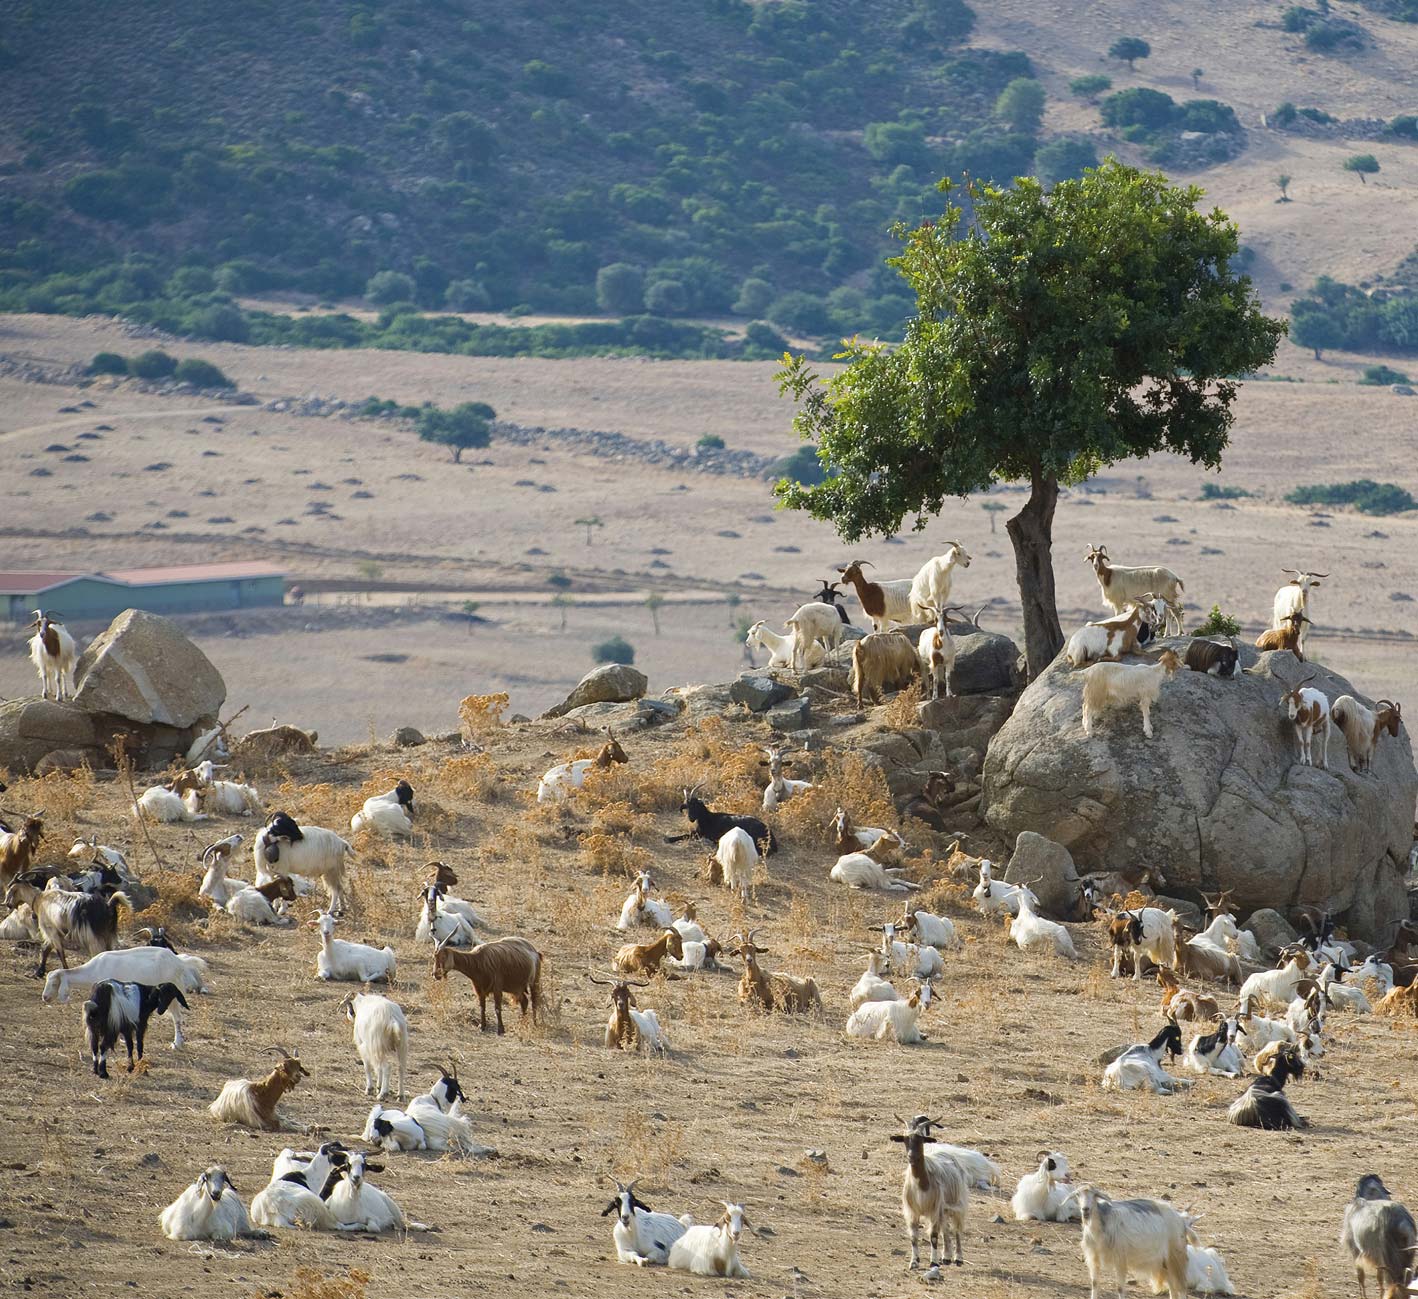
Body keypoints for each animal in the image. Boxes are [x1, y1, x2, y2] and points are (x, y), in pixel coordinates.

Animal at [890, 1117, 969, 1270]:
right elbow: (914, 1236)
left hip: (957, 1204)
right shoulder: (913, 1211)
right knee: (946, 1228)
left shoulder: (934, 1209)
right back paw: (946, 1257)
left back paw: (958, 1258)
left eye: (921, 1139)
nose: (911, 1157)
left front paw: (934, 1262)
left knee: (956, 1229)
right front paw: (914, 1262)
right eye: (905, 1139)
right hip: (943, 1209)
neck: (921, 1184)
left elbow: (933, 1236)